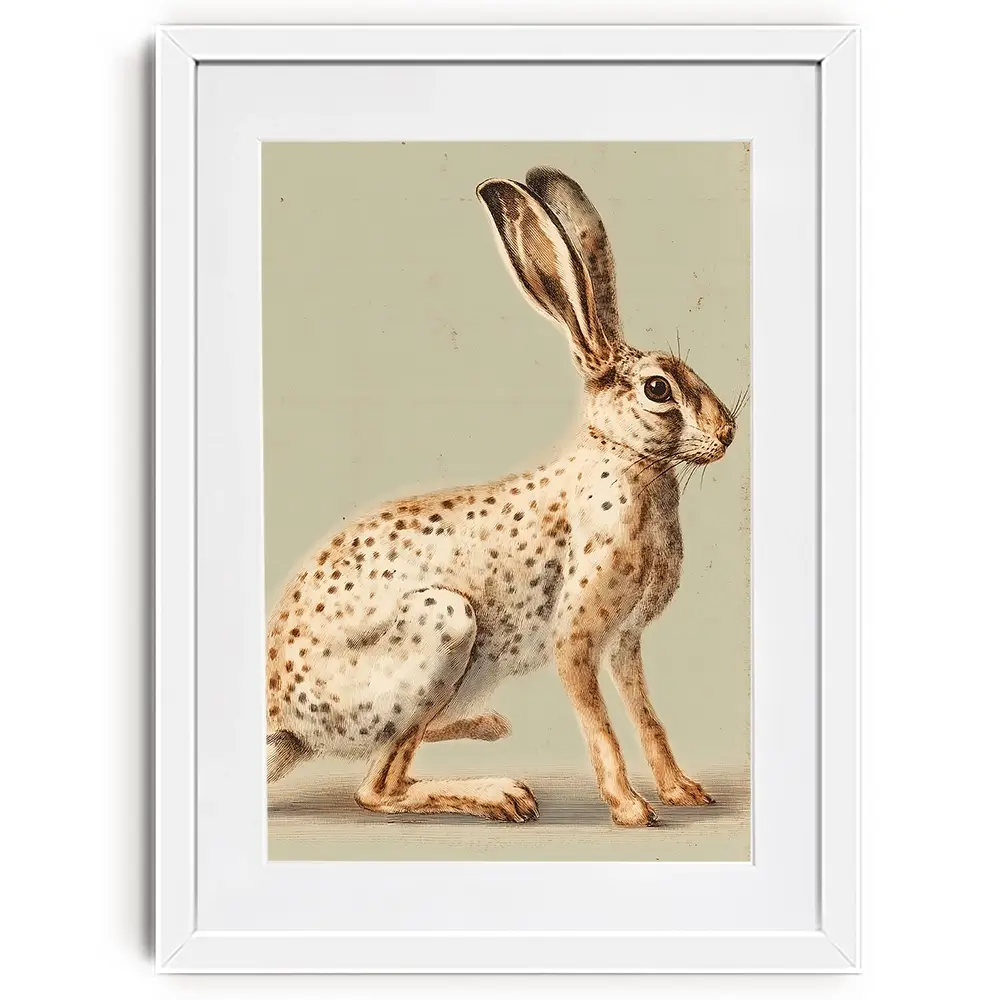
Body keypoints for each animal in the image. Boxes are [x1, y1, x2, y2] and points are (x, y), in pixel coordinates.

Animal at [266, 166, 738, 827]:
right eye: (657, 390)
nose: (729, 433)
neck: (626, 462)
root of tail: (279, 716)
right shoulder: (576, 639)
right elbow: (602, 731)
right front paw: (631, 810)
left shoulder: (626, 642)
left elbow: (647, 717)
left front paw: (682, 791)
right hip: (444, 627)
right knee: (377, 787)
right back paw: (502, 794)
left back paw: (489, 728)